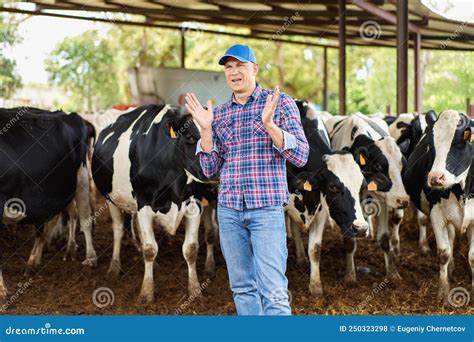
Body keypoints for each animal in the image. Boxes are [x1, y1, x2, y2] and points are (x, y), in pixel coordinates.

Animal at [0, 106, 96, 302]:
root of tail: (69, 114)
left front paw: (2, 290)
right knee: (50, 222)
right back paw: (34, 261)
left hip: (81, 177)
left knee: (84, 218)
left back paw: (89, 257)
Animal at [91, 104, 206, 302]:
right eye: (190, 137)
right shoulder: (143, 203)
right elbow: (149, 248)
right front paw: (146, 292)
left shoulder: (194, 204)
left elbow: (190, 249)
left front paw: (195, 289)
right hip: (111, 198)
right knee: (118, 230)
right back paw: (114, 266)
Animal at [286, 100, 370, 296]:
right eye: (332, 186)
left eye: (362, 186)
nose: (361, 228)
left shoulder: (322, 209)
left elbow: (315, 248)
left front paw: (315, 286)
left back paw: (301, 258)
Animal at [328, 113, 410, 282]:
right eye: (378, 166)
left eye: (403, 166)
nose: (402, 200)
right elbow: (349, 240)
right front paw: (350, 275)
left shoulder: (383, 200)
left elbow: (384, 238)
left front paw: (393, 273)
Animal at [402, 110, 472, 302]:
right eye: (430, 146)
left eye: (459, 144)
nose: (435, 177)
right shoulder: (437, 214)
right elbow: (444, 252)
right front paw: (443, 291)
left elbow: (472, 256)